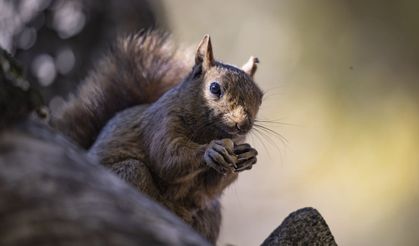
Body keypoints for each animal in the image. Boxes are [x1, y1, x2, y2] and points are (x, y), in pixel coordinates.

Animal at [52, 31, 262, 244]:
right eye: (214, 88)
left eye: (260, 97)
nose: (243, 124)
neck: (209, 132)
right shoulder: (161, 123)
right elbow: (168, 159)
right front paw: (210, 150)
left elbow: (208, 188)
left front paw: (249, 156)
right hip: (130, 174)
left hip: (211, 212)